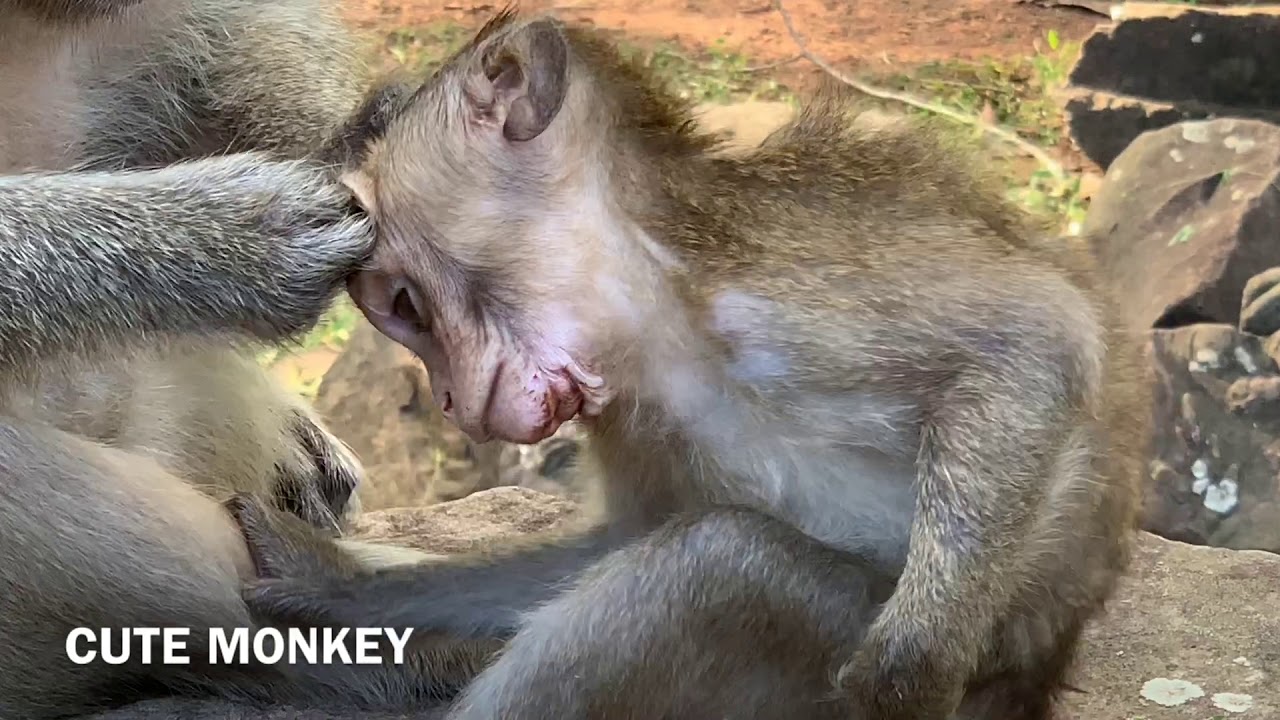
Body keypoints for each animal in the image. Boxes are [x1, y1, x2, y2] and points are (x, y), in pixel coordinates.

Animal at [237, 9, 1151, 720]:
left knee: (721, 566)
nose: (452, 403)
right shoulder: (627, 411)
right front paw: (341, 585)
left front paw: (908, 666)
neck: (649, 315)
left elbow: (1036, 338)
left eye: (402, 303)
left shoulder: (787, 280)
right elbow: (621, 539)